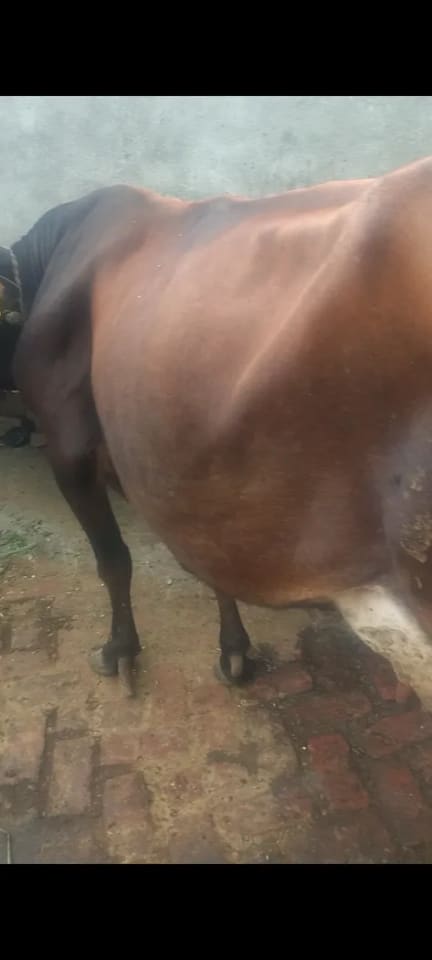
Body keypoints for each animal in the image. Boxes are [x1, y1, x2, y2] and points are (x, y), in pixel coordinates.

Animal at [3, 157, 432, 699]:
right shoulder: (191, 474)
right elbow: (209, 560)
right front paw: (235, 650)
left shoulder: (68, 445)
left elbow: (114, 560)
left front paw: (120, 650)